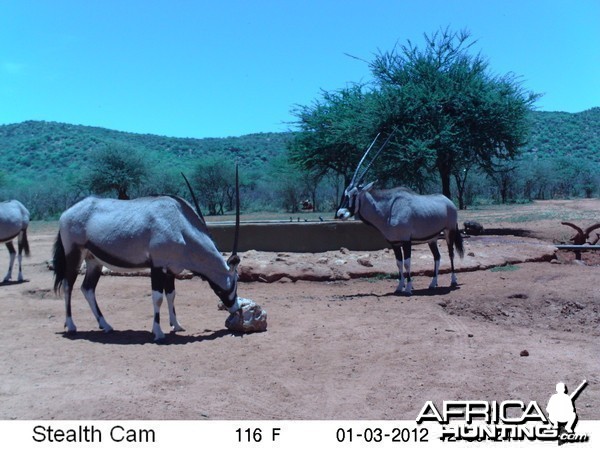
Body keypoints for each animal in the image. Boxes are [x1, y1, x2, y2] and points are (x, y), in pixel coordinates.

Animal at [53, 171, 253, 342]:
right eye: (235, 280)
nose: (236, 308)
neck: (180, 224)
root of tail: (66, 213)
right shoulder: (157, 266)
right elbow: (157, 297)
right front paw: (158, 332)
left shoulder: (171, 269)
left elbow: (171, 295)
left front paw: (176, 325)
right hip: (74, 255)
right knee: (68, 286)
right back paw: (71, 326)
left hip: (94, 261)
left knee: (87, 288)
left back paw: (106, 325)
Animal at [338, 135, 464, 294]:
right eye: (345, 193)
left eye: (354, 194)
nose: (340, 213)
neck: (387, 210)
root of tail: (449, 201)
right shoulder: (394, 243)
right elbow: (398, 263)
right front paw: (399, 287)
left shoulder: (406, 241)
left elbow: (407, 263)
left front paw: (409, 288)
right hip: (432, 238)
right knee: (437, 256)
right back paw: (433, 284)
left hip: (449, 231)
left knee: (451, 253)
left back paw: (453, 281)